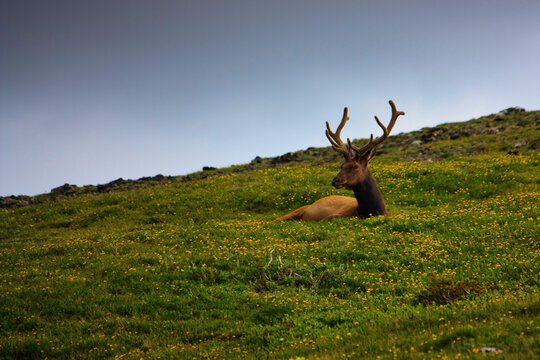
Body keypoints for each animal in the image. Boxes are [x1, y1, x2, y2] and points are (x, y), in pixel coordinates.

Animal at [274, 100, 404, 221]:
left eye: (355, 166)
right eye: (341, 165)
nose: (335, 180)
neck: (372, 210)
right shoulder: (335, 215)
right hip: (298, 210)